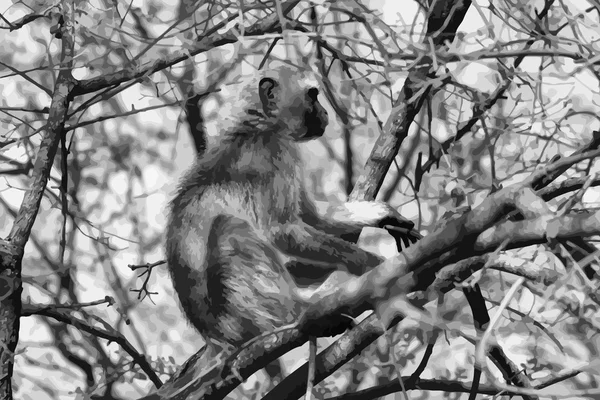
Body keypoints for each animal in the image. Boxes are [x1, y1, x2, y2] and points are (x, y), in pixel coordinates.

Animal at [164, 64, 418, 348]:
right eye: (313, 96)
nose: (326, 113)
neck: (256, 127)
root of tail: (219, 337)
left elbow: (312, 217)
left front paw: (382, 215)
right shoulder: (274, 155)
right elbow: (282, 232)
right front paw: (370, 263)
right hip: (245, 314)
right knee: (228, 228)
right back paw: (303, 312)